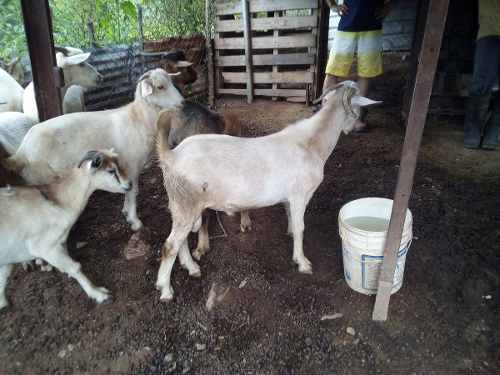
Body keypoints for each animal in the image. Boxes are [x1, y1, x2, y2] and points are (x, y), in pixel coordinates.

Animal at [0, 150, 133, 312]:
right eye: (111, 171)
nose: (130, 184)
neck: (59, 202)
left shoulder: (8, 258)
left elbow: (3, 278)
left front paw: (2, 303)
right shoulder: (46, 248)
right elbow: (75, 267)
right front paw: (100, 294)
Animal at [4, 68, 185, 232]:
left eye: (171, 82)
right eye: (160, 87)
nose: (183, 102)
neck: (137, 118)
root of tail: (22, 152)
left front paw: (126, 212)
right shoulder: (131, 165)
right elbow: (133, 191)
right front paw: (134, 221)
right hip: (41, 178)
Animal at [155, 82, 378, 302]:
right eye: (359, 108)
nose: (361, 127)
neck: (311, 143)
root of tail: (172, 155)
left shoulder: (289, 198)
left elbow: (291, 219)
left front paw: (291, 238)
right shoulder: (300, 196)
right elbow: (301, 227)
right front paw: (303, 262)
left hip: (179, 204)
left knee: (181, 241)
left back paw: (191, 268)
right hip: (186, 203)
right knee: (170, 246)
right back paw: (165, 290)